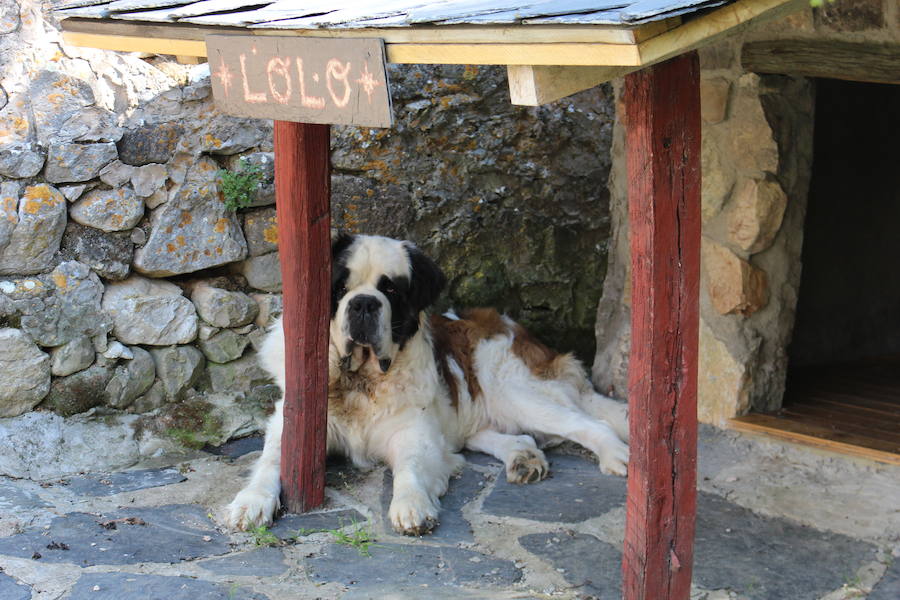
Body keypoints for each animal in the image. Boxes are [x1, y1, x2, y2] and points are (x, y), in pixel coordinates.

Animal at [229, 233, 628, 536]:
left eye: (391, 290)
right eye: (340, 287)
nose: (363, 304)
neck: (360, 379)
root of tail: (518, 329)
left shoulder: (414, 433)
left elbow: (410, 466)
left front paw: (411, 505)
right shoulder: (295, 424)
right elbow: (270, 461)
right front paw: (250, 501)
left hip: (515, 391)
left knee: (592, 422)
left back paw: (617, 457)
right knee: (519, 436)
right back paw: (523, 458)